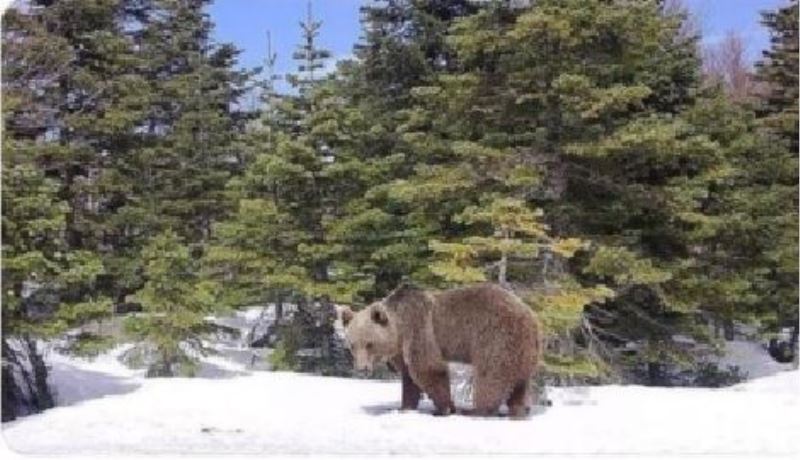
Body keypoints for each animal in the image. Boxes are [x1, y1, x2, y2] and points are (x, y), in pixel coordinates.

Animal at [340, 282, 544, 418]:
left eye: (369, 343)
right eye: (352, 345)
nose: (362, 369)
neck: (399, 329)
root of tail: (531, 318)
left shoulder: (419, 330)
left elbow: (428, 368)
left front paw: (444, 408)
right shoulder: (402, 349)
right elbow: (408, 378)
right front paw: (404, 407)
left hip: (496, 337)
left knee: (491, 374)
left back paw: (476, 410)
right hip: (522, 351)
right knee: (520, 381)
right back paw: (520, 409)